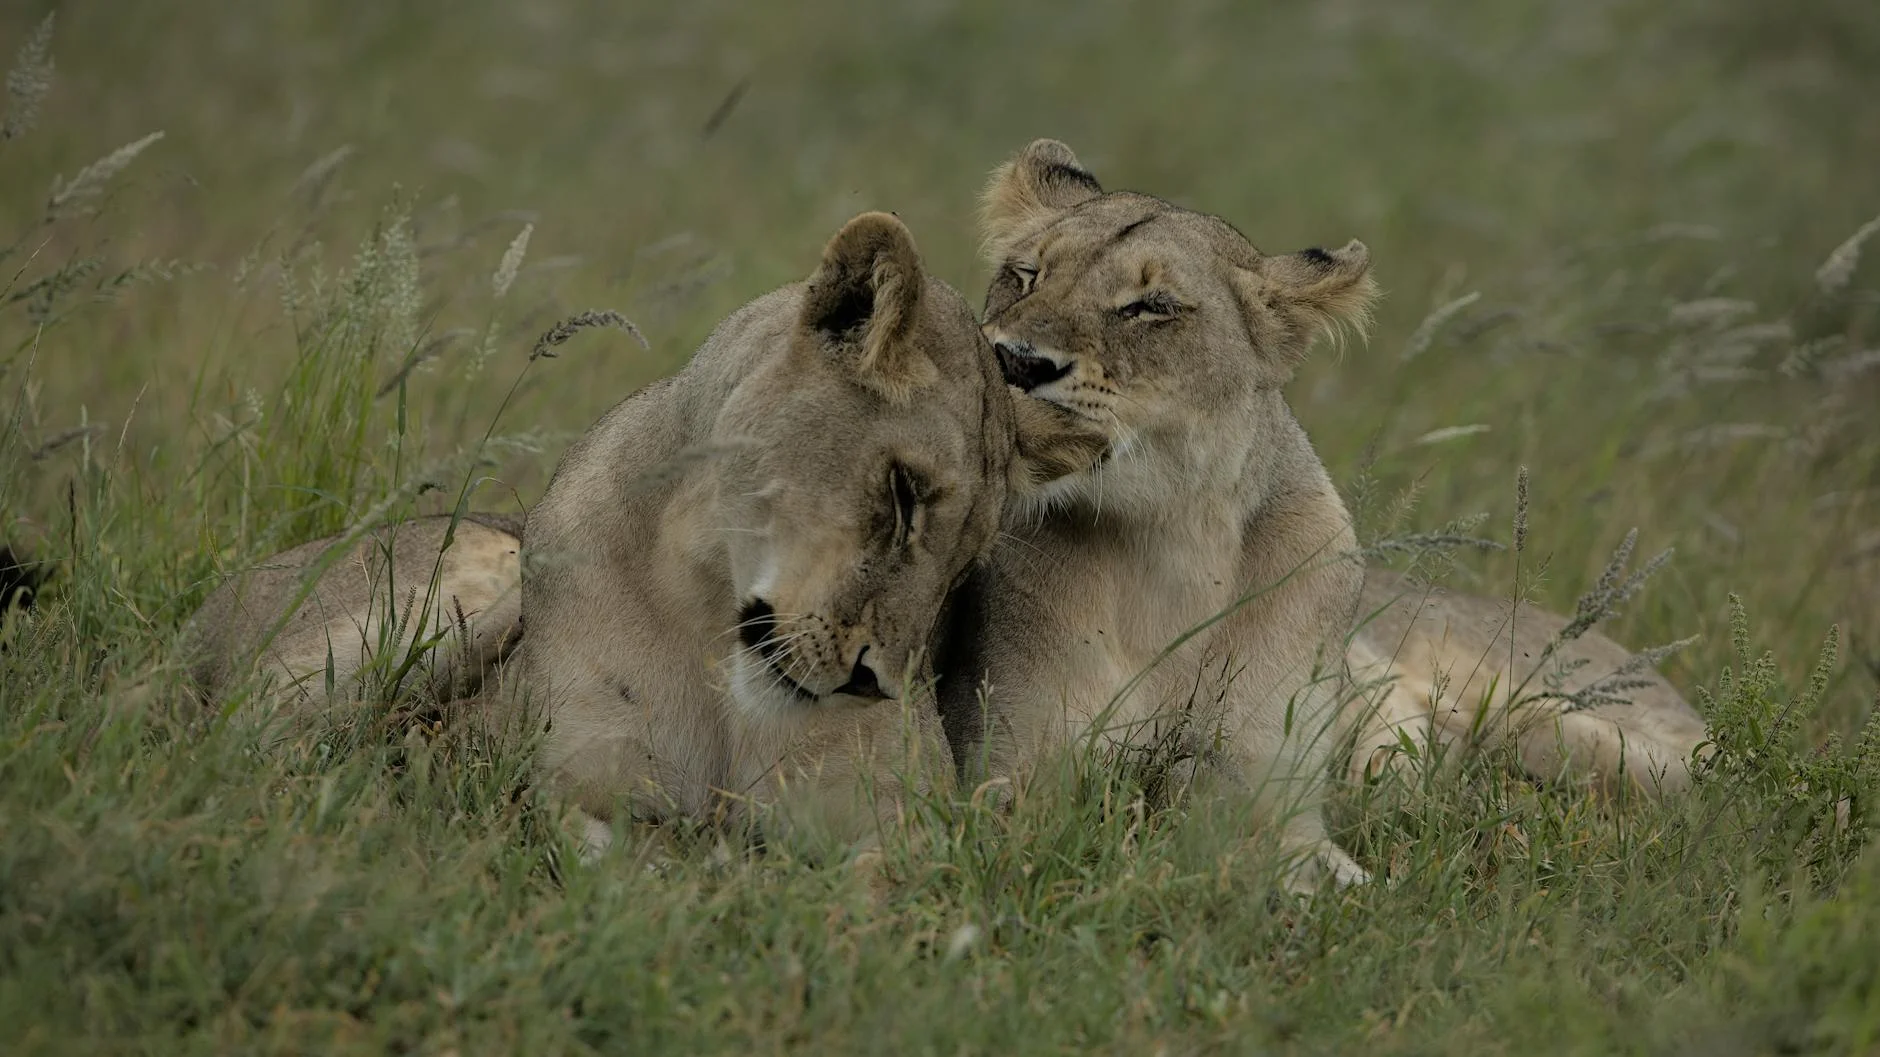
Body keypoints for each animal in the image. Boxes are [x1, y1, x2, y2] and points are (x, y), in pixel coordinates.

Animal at [934, 139, 1381, 892]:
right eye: (1026, 275)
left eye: (1150, 306)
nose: (1015, 361)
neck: (1172, 547)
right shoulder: (1011, 779)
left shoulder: (1286, 802)